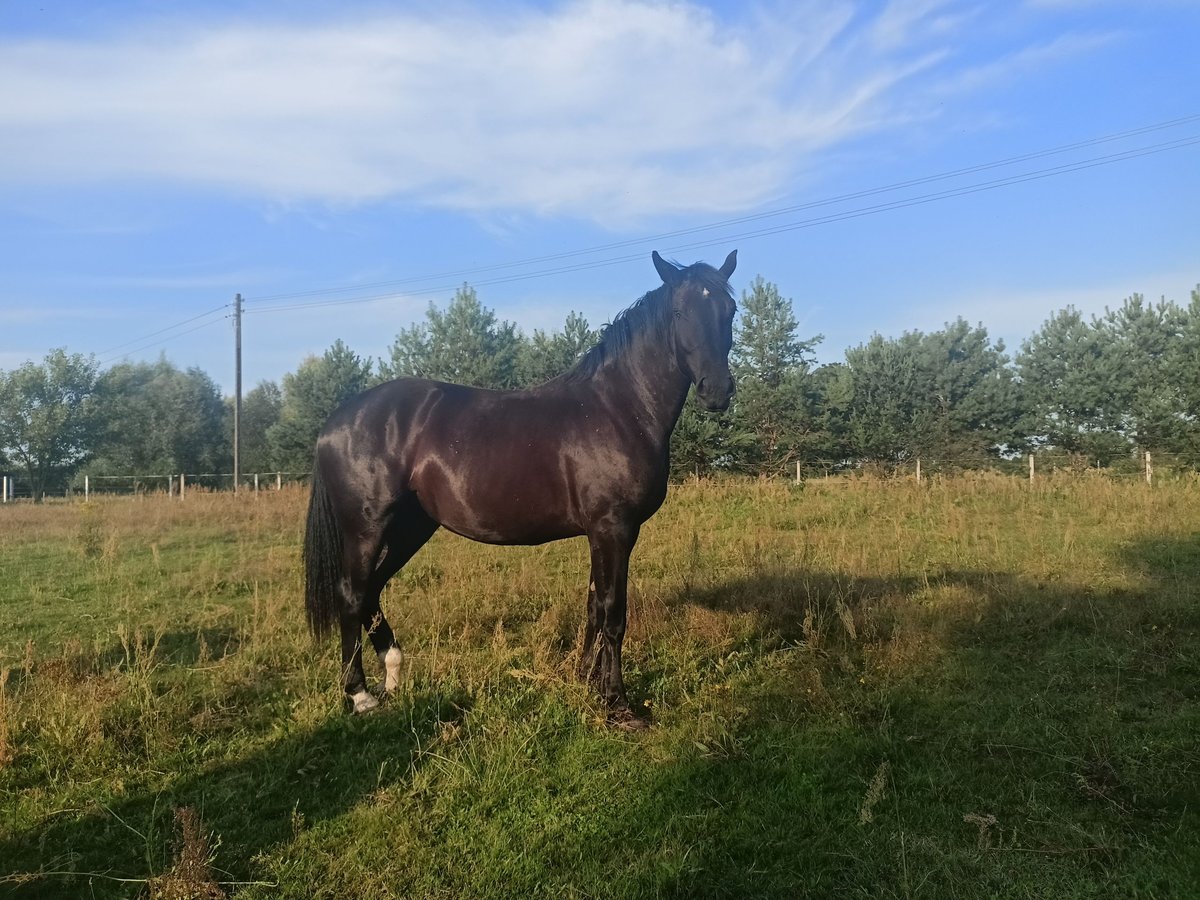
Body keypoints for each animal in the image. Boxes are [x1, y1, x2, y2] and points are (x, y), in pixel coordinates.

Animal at [304, 250, 734, 729]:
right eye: (679, 312)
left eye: (730, 310)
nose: (718, 391)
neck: (619, 408)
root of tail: (338, 419)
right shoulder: (614, 529)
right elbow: (613, 614)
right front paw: (618, 704)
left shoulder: (602, 533)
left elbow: (593, 607)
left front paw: (586, 681)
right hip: (366, 529)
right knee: (351, 593)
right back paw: (359, 695)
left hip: (410, 527)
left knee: (372, 589)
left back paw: (393, 675)